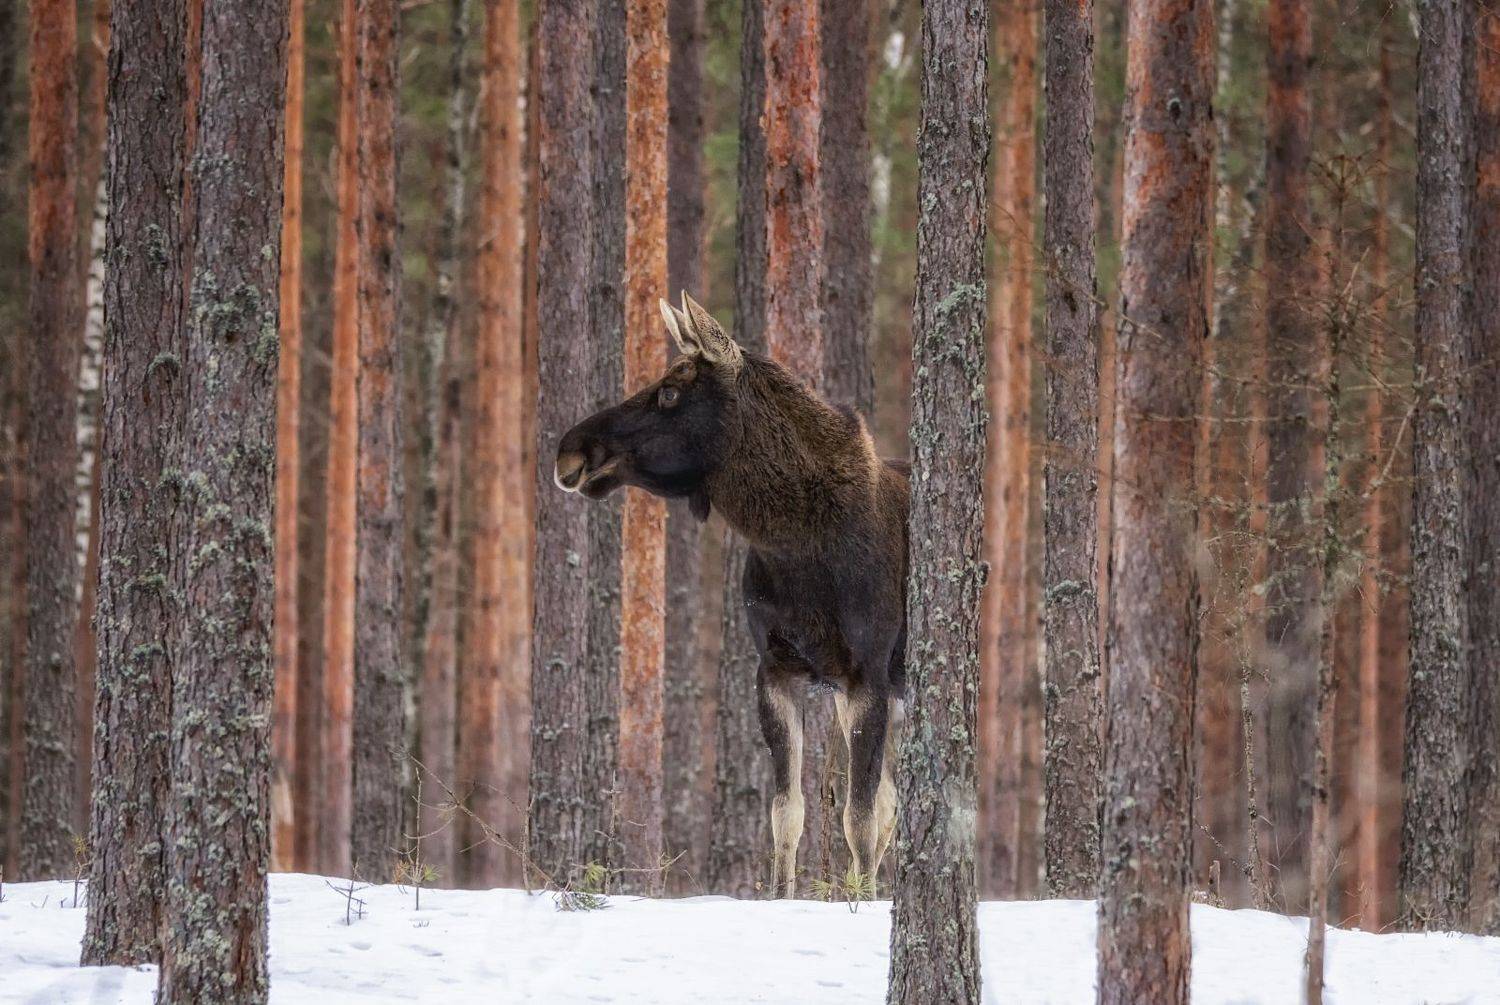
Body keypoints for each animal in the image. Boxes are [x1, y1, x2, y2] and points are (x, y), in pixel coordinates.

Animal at [553, 293, 909, 899]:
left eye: (670, 391)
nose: (570, 449)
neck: (797, 546)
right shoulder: (777, 670)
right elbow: (787, 814)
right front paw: (781, 896)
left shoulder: (868, 674)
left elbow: (858, 817)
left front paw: (863, 901)